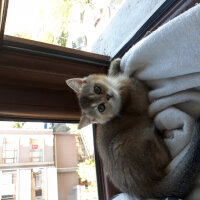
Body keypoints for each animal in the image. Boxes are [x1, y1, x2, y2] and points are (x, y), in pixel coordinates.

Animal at [66, 57, 200, 198]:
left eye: (97, 89)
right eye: (101, 107)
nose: (108, 96)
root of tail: (141, 189)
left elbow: (113, 74)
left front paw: (115, 65)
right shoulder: (141, 93)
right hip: (135, 138)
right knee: (166, 154)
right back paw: (164, 134)